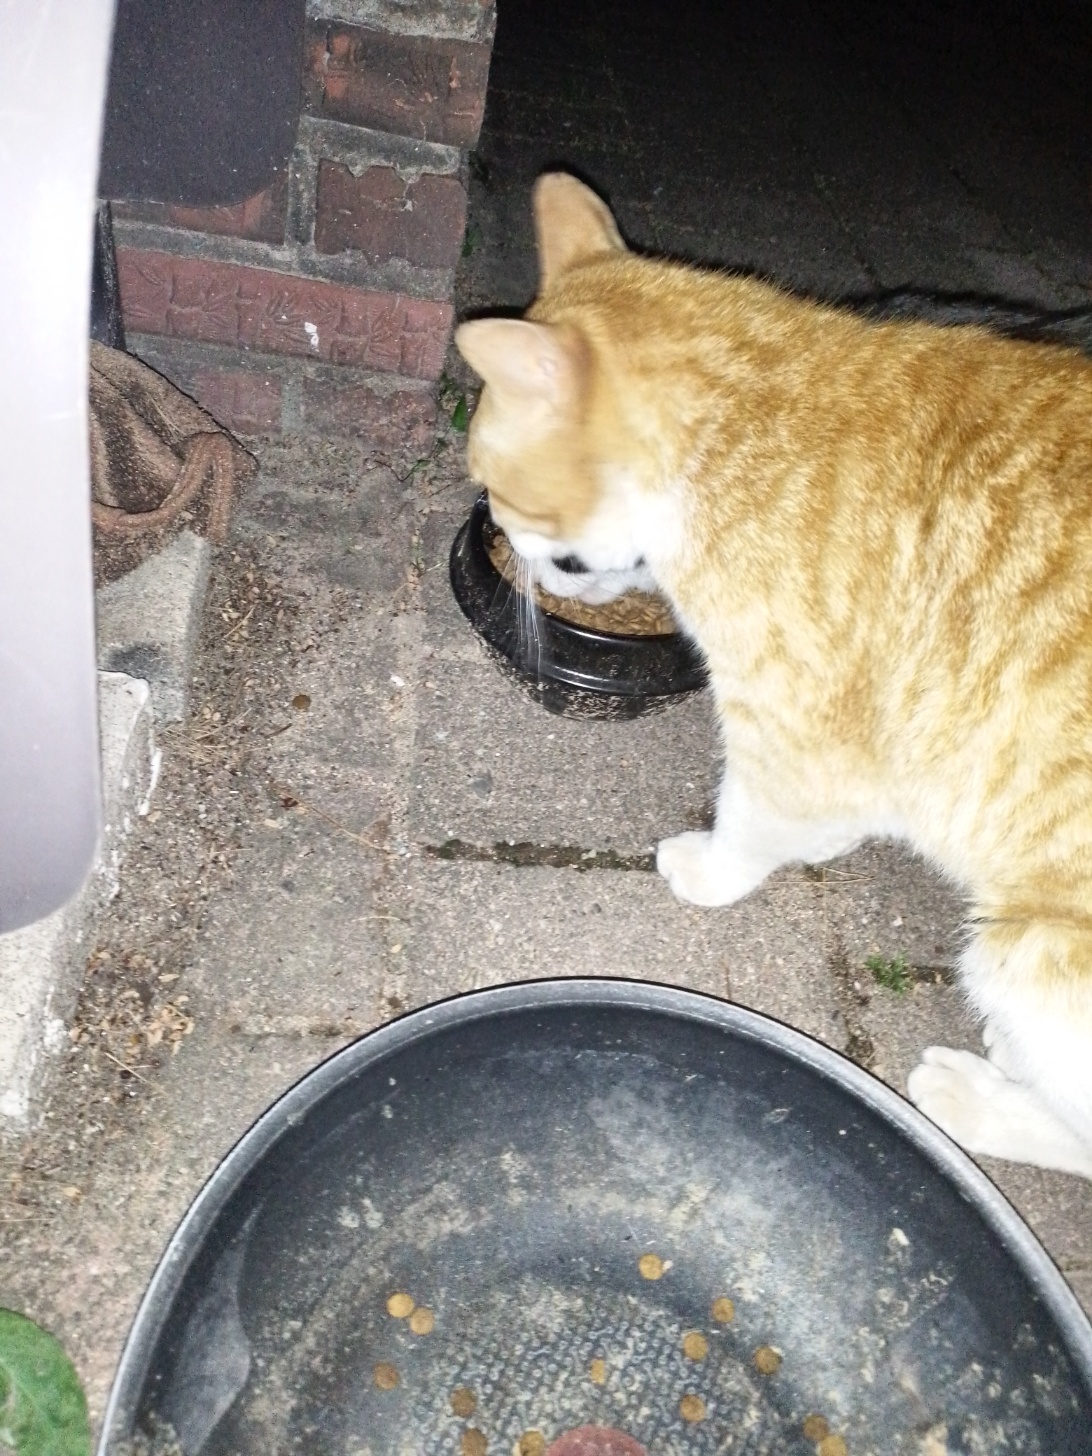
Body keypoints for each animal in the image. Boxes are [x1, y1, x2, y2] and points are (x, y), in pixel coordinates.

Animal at [455, 171, 1092, 1182]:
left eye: (504, 489)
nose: (505, 540)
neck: (733, 435)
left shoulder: (799, 739)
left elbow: (748, 820)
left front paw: (712, 868)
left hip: (1026, 956)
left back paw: (976, 1096)